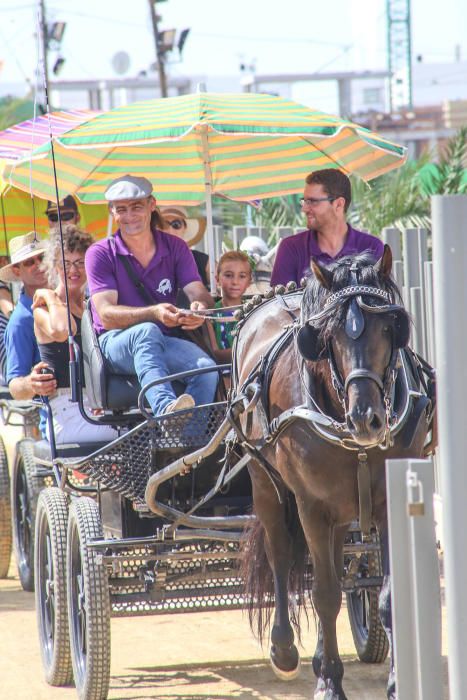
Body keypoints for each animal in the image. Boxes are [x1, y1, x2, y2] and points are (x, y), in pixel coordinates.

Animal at [232, 246, 436, 700]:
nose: (367, 419)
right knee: (281, 554)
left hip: (341, 511)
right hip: (265, 482)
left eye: (390, 327)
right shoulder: (311, 506)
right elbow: (324, 594)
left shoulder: (384, 503)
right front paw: (328, 683)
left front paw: (396, 682)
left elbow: (388, 596)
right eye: (329, 335)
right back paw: (285, 650)